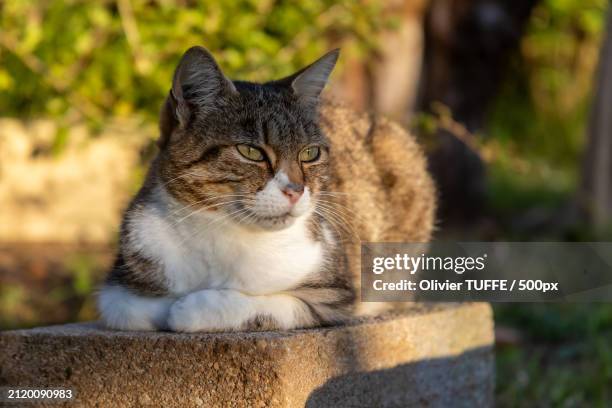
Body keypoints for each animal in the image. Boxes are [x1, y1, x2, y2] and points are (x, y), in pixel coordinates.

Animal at [97, 46, 436, 332]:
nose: (296, 190)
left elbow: (265, 304)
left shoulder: (334, 296)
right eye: (251, 152)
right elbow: (133, 310)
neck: (221, 234)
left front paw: (191, 307)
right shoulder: (117, 288)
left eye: (310, 153)